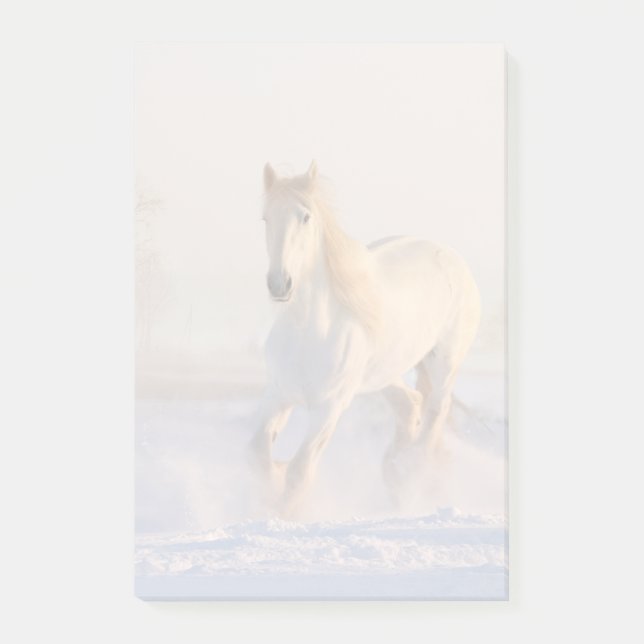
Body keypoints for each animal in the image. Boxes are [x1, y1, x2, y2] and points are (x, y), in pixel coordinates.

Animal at [248, 161, 481, 514]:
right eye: (265, 218)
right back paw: (394, 472)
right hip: (385, 373)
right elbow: (259, 453)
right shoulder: (278, 394)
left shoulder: (329, 408)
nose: (279, 284)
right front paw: (273, 482)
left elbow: (300, 470)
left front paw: (285, 513)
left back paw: (411, 473)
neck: (309, 333)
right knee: (410, 404)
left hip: (444, 363)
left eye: (305, 217)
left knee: (434, 414)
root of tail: (450, 256)